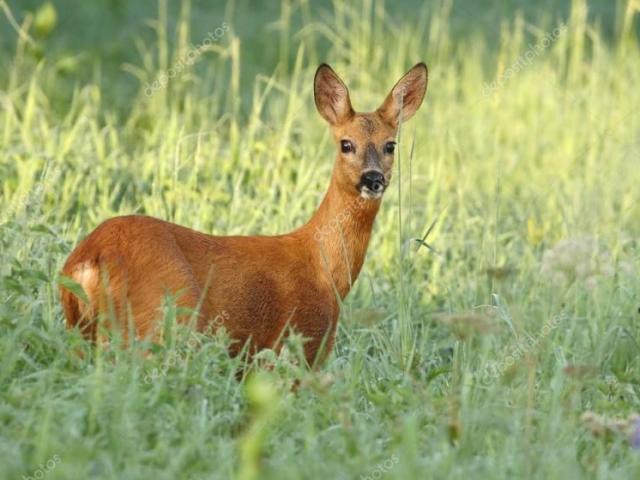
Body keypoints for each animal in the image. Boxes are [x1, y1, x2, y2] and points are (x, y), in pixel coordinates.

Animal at [61, 62, 430, 364]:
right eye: (346, 144)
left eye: (390, 145)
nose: (373, 179)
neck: (324, 267)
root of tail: (89, 258)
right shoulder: (298, 343)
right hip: (162, 320)